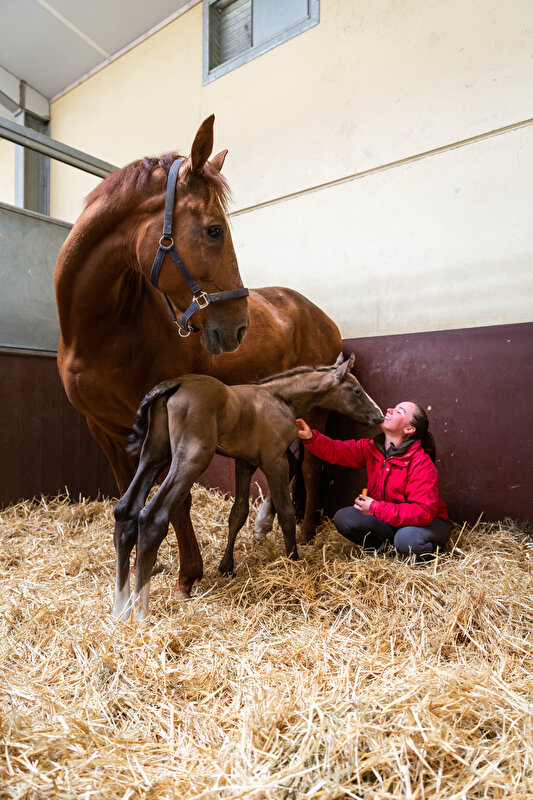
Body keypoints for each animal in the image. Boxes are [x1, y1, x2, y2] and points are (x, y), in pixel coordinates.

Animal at [55, 115, 340, 596]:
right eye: (213, 230)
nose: (238, 327)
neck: (99, 331)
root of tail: (321, 316)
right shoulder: (106, 430)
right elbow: (127, 493)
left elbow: (180, 500)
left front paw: (189, 573)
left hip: (315, 413)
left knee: (314, 469)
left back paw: (303, 533)